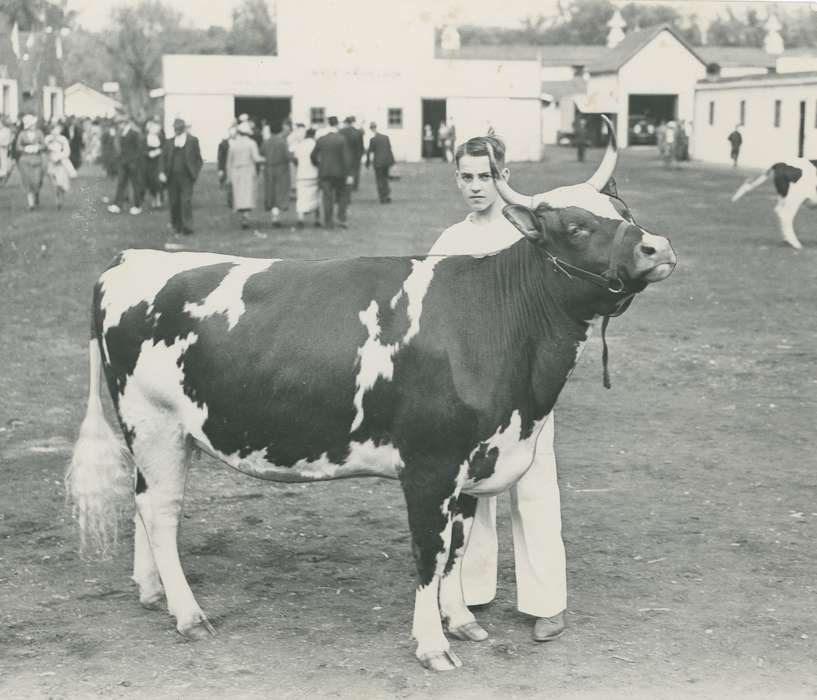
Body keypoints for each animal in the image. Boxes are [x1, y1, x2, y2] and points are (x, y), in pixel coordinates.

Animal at [66, 120, 676, 671]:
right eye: (574, 226)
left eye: (622, 211)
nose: (658, 246)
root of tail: (131, 257)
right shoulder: (430, 466)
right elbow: (430, 554)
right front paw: (432, 646)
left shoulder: (473, 463)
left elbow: (457, 547)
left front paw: (461, 620)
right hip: (154, 424)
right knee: (160, 510)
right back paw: (189, 614)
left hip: (168, 435)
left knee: (144, 503)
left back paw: (152, 593)